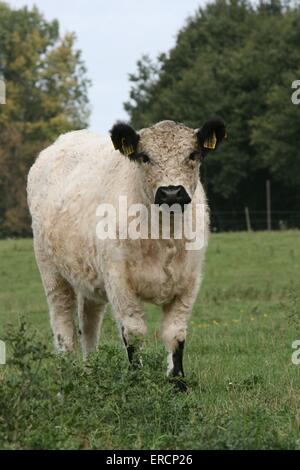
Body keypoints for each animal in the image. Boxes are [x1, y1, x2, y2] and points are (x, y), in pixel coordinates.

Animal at [28, 118, 226, 390]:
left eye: (193, 155)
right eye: (145, 157)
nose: (171, 193)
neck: (164, 235)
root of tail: (65, 138)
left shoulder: (189, 282)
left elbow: (175, 333)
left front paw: (178, 384)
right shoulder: (119, 282)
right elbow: (134, 332)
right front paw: (137, 381)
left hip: (90, 277)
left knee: (89, 325)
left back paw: (91, 371)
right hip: (52, 272)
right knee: (63, 328)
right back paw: (67, 376)